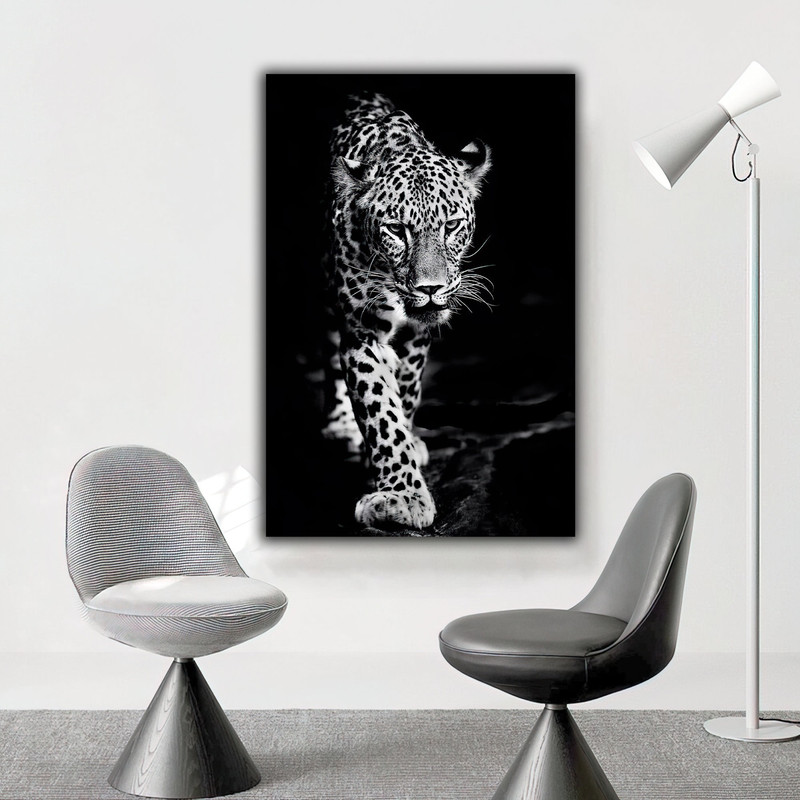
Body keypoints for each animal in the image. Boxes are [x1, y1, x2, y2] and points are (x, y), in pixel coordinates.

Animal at [321, 91, 491, 530]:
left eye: (452, 225)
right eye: (397, 229)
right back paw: (341, 425)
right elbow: (380, 409)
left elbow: (406, 391)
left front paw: (406, 450)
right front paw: (403, 497)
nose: (430, 288)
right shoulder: (362, 330)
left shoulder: (417, 335)